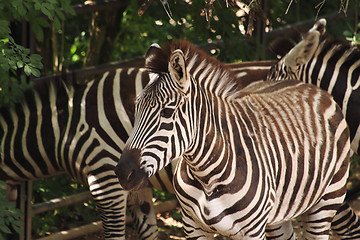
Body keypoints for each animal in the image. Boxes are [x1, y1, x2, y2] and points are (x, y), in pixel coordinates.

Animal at [114, 40, 352, 239]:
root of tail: (306, 84)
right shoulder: (192, 226)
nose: (123, 173)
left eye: (167, 112)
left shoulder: (252, 231)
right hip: (279, 215)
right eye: (136, 108)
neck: (206, 176)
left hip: (327, 201)